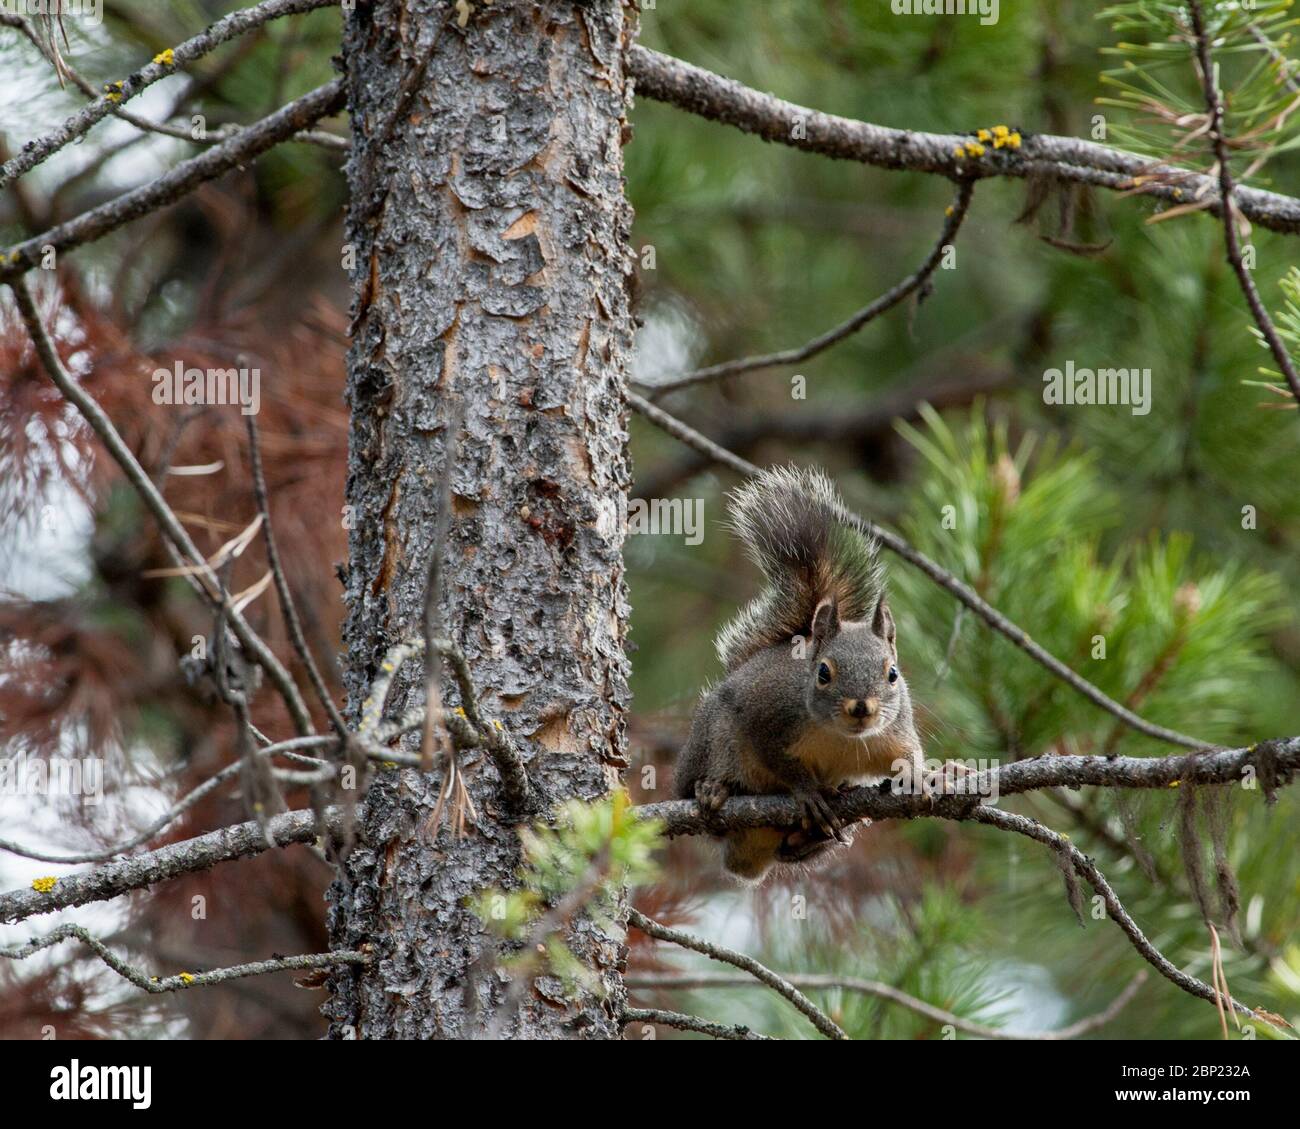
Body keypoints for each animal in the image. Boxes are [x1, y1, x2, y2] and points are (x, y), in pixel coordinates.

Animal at [674, 466, 924, 883]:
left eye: (892, 674)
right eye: (823, 672)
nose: (862, 708)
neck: (841, 738)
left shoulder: (893, 733)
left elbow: (907, 754)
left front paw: (921, 774)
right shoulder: (767, 715)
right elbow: (779, 760)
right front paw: (807, 790)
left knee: (789, 853)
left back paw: (809, 837)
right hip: (710, 742)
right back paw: (712, 790)